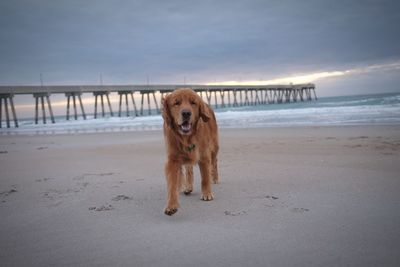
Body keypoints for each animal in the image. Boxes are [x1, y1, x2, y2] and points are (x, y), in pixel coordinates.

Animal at [162, 89, 219, 217]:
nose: (186, 113)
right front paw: (171, 206)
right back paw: (188, 186)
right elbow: (172, 185)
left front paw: (207, 194)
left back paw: (215, 178)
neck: (187, 138)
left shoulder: (204, 156)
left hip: (214, 147)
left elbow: (205, 177)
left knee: (214, 163)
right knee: (189, 169)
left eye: (193, 103)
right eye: (176, 103)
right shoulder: (172, 160)